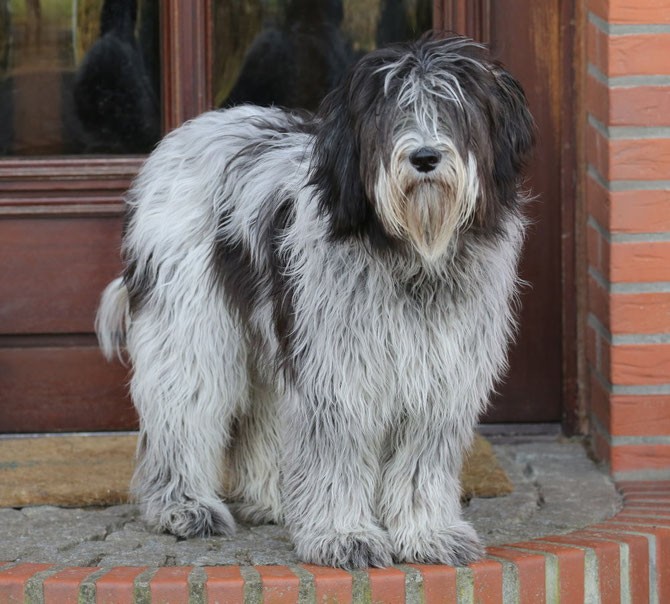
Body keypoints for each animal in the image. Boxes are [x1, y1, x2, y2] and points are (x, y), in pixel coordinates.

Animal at [97, 33, 536, 572]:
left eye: (455, 111)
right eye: (389, 115)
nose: (425, 157)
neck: (411, 257)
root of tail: (189, 131)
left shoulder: (439, 379)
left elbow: (421, 462)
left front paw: (426, 532)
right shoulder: (339, 376)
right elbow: (338, 456)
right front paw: (343, 535)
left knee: (260, 414)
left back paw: (270, 499)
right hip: (191, 326)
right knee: (183, 408)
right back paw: (183, 506)